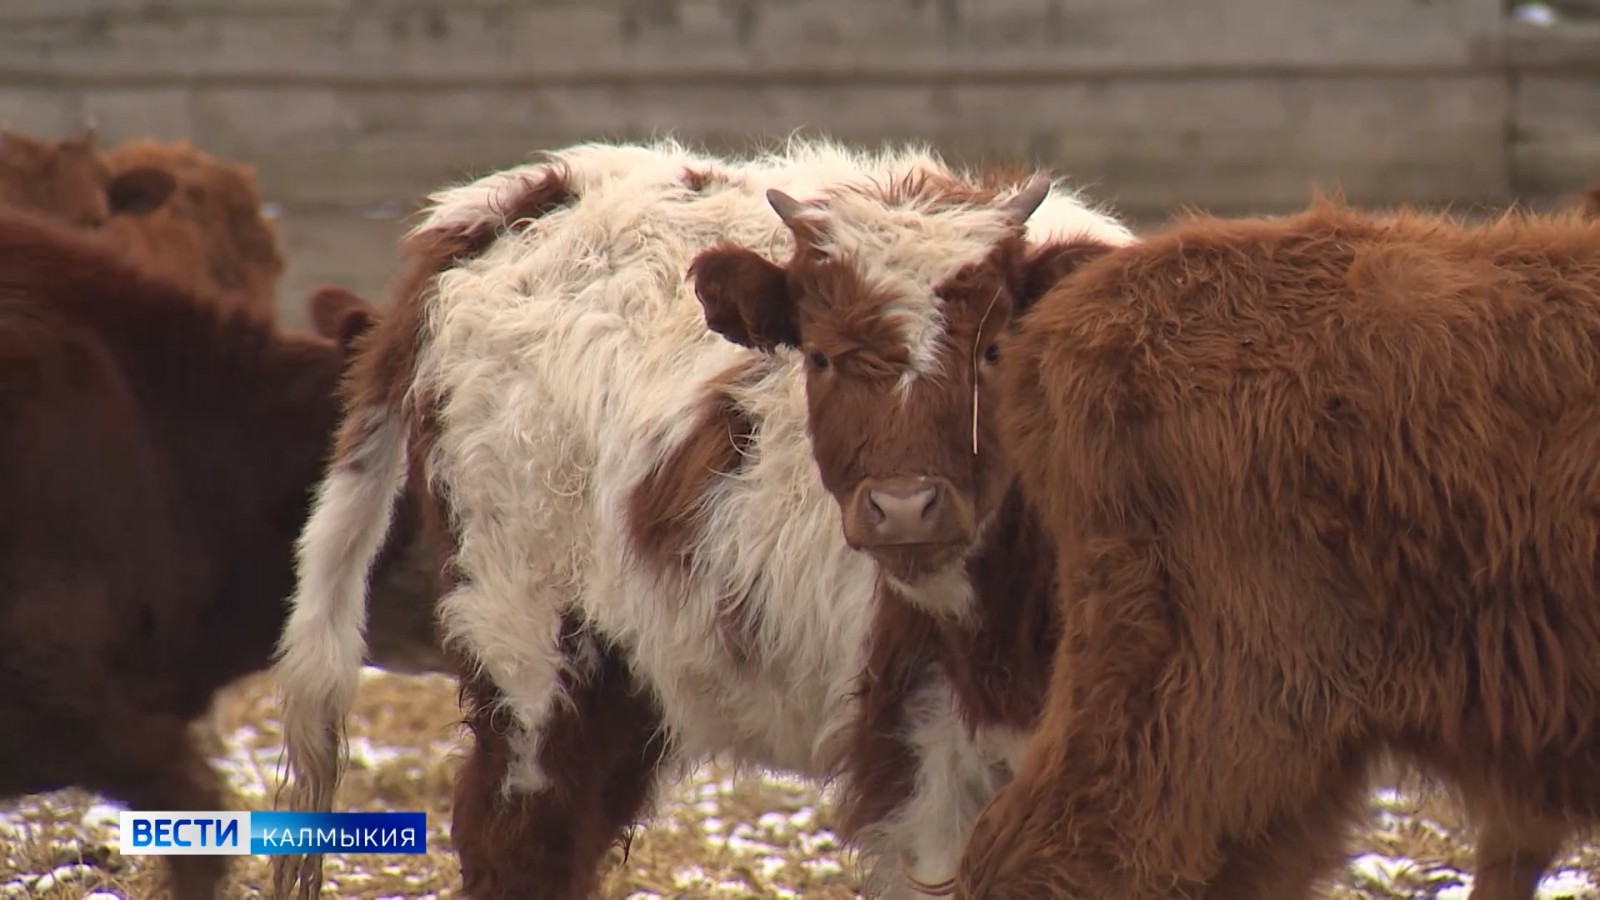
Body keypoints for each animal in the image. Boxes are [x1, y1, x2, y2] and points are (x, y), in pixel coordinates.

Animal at [268, 136, 1132, 890]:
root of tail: (511, 199)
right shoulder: (925, 758)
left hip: (622, 676)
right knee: (520, 838)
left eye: (994, 349)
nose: (905, 507)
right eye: (820, 357)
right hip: (525, 641)